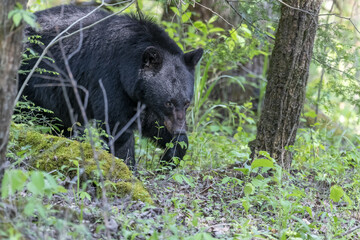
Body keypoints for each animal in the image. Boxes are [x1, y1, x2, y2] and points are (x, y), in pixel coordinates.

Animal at [19, 4, 202, 170]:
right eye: (168, 102)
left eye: (187, 102)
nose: (179, 130)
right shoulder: (109, 78)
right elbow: (116, 126)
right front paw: (126, 167)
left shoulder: (143, 97)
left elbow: (154, 123)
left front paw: (171, 154)